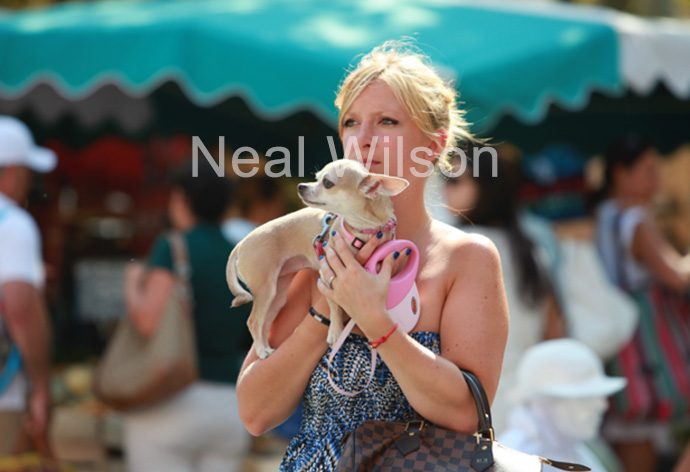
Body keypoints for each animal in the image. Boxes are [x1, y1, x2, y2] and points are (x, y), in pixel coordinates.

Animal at [226, 159, 408, 358]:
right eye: (316, 177)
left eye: (327, 183)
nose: (300, 186)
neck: (362, 230)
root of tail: (241, 243)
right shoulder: (327, 274)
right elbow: (335, 306)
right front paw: (335, 333)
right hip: (265, 289)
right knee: (253, 322)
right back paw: (262, 351)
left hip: (276, 295)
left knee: (264, 323)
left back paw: (265, 348)